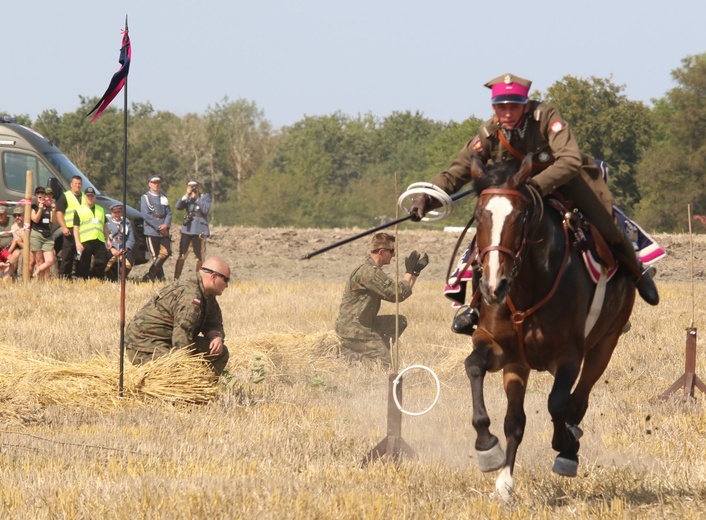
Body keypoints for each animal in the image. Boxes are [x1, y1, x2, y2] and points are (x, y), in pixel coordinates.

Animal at [464, 153, 636, 500]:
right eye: (479, 215)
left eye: (521, 216)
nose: (493, 286)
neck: (528, 287)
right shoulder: (500, 350)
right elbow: (475, 369)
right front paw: (488, 450)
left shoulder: (569, 357)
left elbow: (558, 402)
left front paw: (564, 444)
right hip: (519, 364)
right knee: (516, 419)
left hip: (604, 345)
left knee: (579, 399)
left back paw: (569, 448)